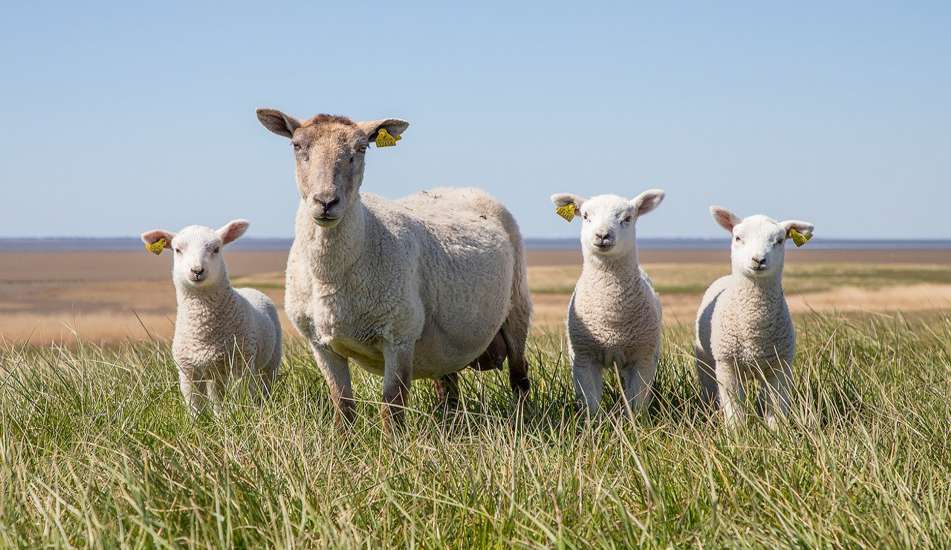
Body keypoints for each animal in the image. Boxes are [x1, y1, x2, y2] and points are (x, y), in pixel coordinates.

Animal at [140, 222, 282, 416]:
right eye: (177, 250)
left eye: (216, 249)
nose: (197, 270)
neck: (204, 331)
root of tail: (249, 288)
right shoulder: (187, 371)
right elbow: (194, 406)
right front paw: (198, 422)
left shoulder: (241, 363)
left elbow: (243, 395)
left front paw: (243, 414)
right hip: (214, 372)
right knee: (217, 396)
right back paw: (219, 416)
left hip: (271, 360)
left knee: (266, 384)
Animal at [256, 110, 532, 432]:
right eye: (297, 145)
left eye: (362, 148)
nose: (326, 202)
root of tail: (462, 188)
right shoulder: (320, 343)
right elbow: (342, 404)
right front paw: (344, 440)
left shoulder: (399, 336)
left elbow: (392, 405)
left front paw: (392, 443)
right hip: (444, 344)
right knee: (448, 387)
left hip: (517, 306)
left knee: (519, 376)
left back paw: (522, 421)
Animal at [552, 190, 668, 414]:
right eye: (586, 216)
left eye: (627, 218)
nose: (602, 235)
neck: (611, 315)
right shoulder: (583, 358)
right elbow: (590, 403)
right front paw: (594, 422)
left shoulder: (642, 358)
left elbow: (637, 403)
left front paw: (635, 421)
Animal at [692, 208, 820, 432]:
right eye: (738, 237)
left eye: (779, 240)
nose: (758, 260)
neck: (754, 328)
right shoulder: (727, 366)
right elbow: (734, 409)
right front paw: (737, 433)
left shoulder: (780, 367)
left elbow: (776, 407)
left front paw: (777, 433)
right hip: (706, 360)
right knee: (710, 389)